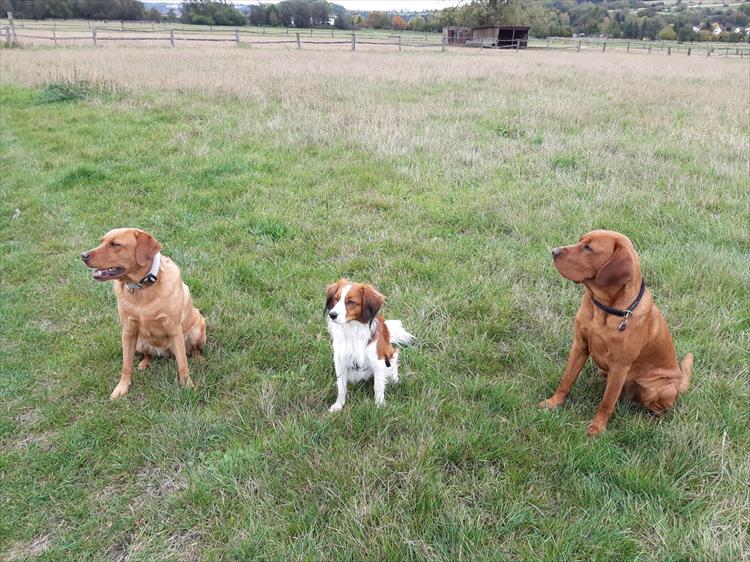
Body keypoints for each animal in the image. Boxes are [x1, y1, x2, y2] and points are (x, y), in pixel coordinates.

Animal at [81, 228, 206, 399]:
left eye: (115, 244)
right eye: (101, 241)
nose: (83, 255)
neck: (142, 288)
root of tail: (166, 352)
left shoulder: (174, 330)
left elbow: (182, 364)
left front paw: (187, 386)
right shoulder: (128, 331)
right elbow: (126, 366)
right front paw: (121, 388)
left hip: (197, 330)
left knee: (192, 350)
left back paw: (199, 358)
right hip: (139, 342)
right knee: (147, 355)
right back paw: (143, 363)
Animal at [324, 279, 414, 412]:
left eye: (351, 302)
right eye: (336, 299)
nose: (332, 314)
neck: (352, 329)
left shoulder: (378, 361)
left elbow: (378, 386)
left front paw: (380, 406)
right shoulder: (340, 360)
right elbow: (341, 387)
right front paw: (338, 405)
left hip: (390, 355)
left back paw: (395, 380)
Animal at [540, 230, 693, 436]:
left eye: (588, 248)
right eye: (580, 241)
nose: (554, 251)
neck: (604, 310)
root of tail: (678, 384)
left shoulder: (620, 366)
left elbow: (607, 402)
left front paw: (597, 427)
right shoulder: (579, 345)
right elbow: (566, 379)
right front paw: (553, 403)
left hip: (658, 388)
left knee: (661, 412)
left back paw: (648, 423)